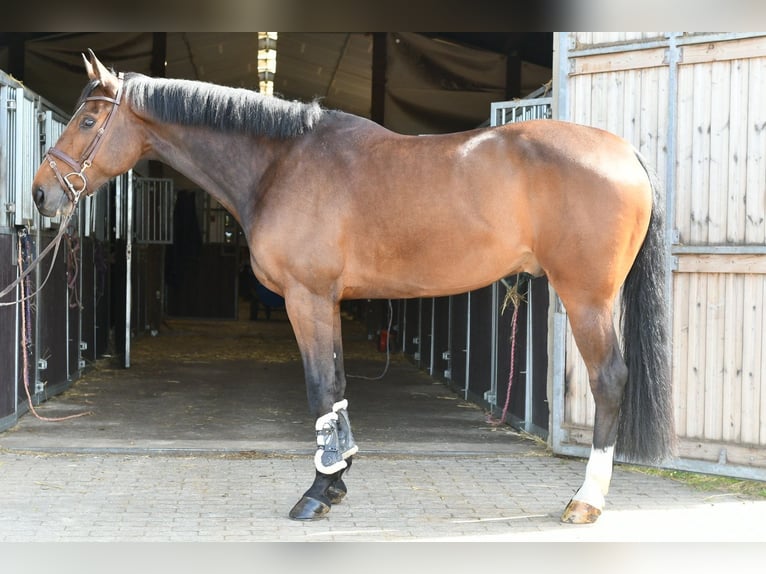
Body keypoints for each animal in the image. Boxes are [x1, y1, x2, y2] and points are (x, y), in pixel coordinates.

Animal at [32, 50, 675, 524]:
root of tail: (625, 153)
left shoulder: (307, 298)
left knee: (609, 380)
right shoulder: (328, 302)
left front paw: (316, 494)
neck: (282, 165)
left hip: (586, 298)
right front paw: (335, 482)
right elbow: (337, 391)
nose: (41, 193)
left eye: (87, 121)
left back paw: (585, 501)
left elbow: (320, 389)